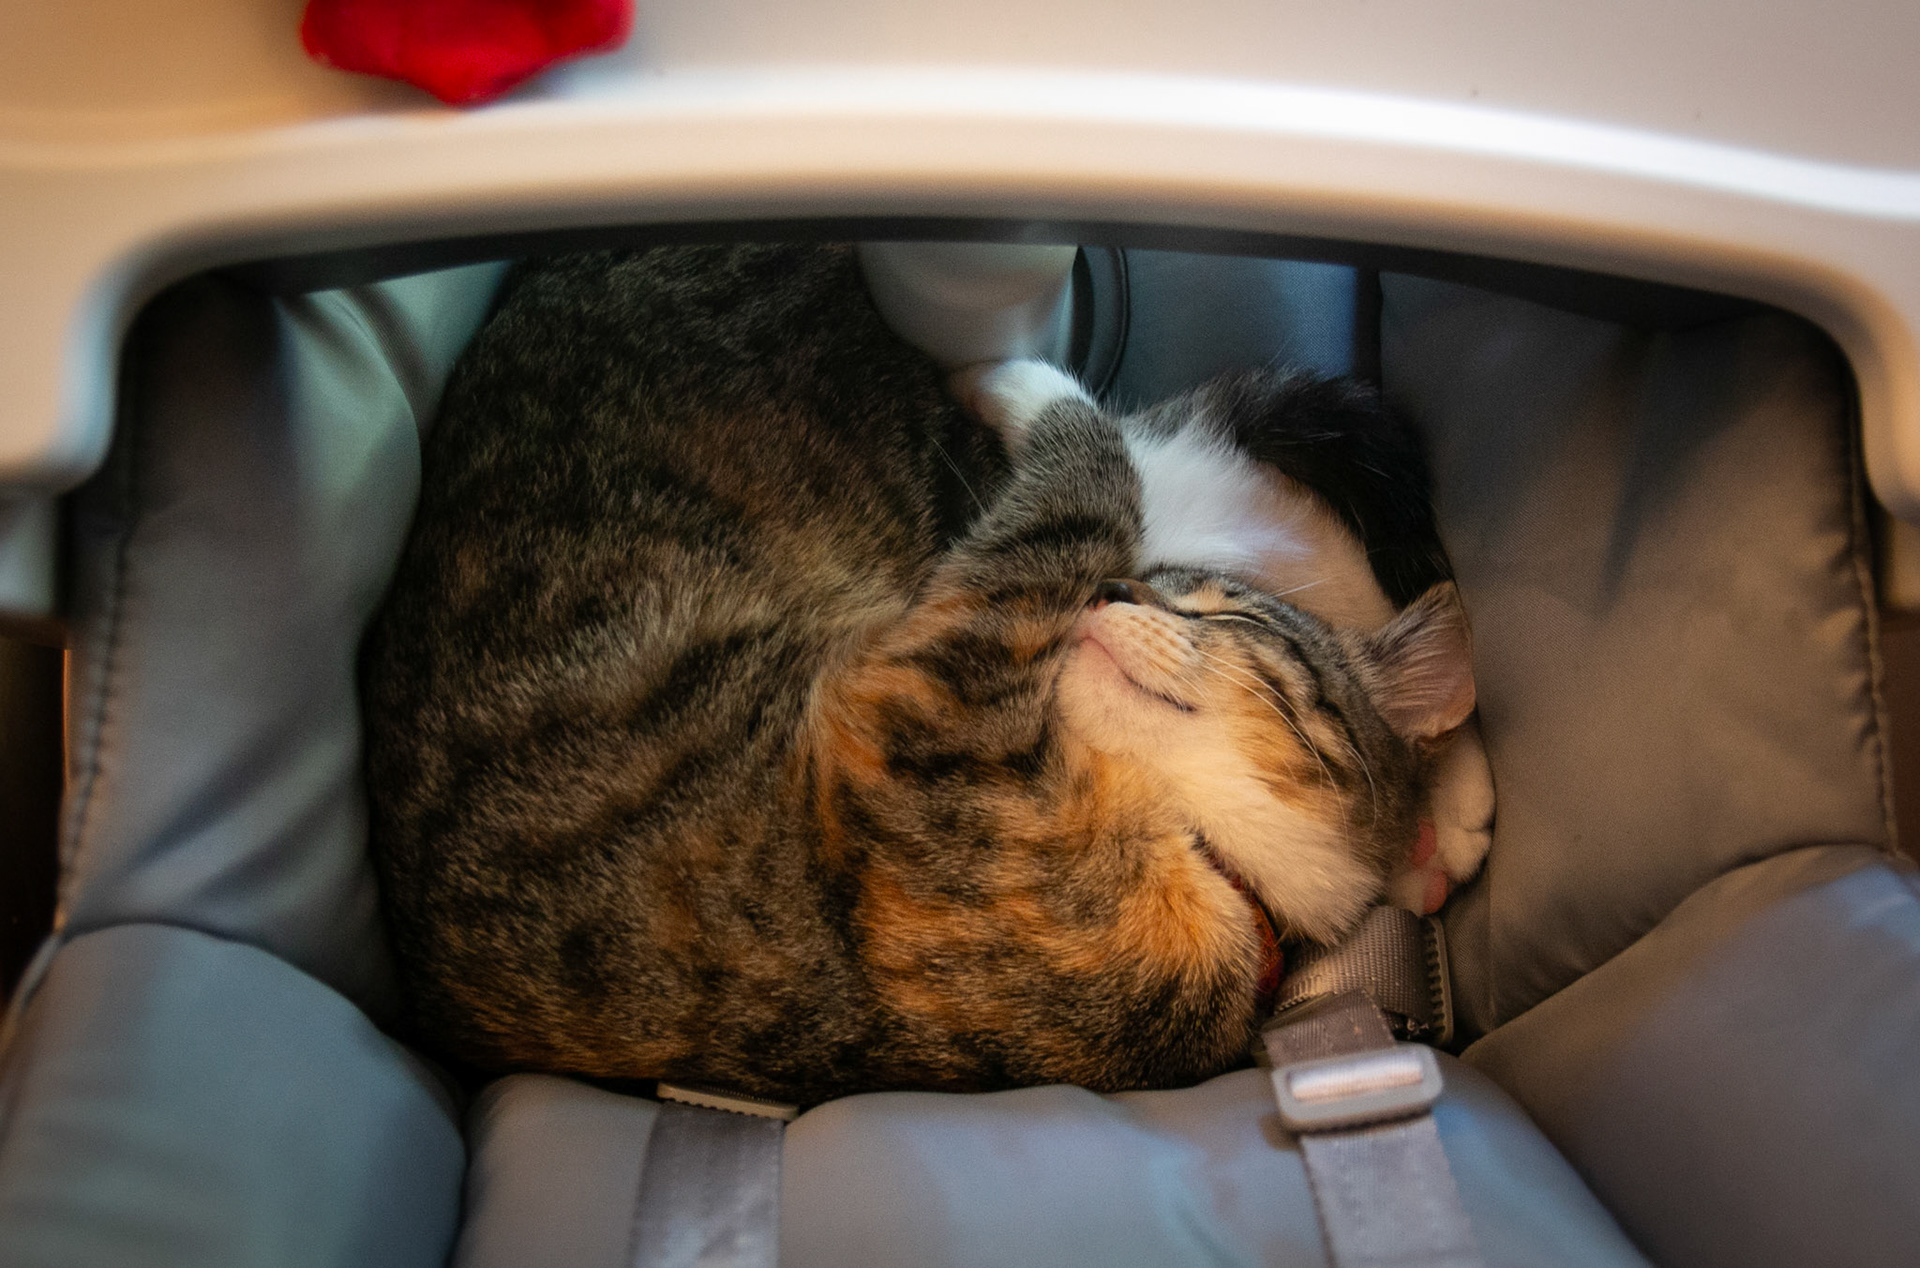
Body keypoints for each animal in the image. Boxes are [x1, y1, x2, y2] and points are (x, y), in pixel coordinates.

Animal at [361, 242, 1480, 1107]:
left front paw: (1009, 376)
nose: (1116, 590)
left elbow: (1089, 471)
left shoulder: (932, 694)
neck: (1216, 863)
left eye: (1223, 612)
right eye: (1144, 593)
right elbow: (1097, 482)